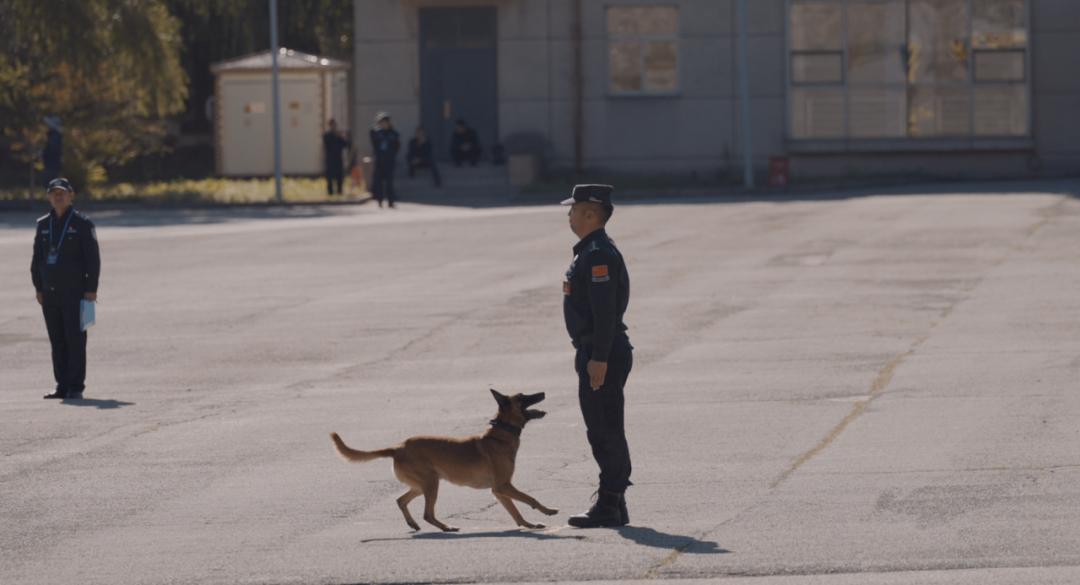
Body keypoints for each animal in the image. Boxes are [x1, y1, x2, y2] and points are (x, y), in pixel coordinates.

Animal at [332, 390, 557, 531]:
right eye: (523, 397)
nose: (543, 393)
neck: (501, 434)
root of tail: (398, 448)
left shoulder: (499, 491)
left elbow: (515, 512)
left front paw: (528, 525)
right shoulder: (503, 486)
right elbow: (530, 499)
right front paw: (548, 511)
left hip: (423, 484)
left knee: (401, 500)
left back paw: (414, 524)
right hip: (431, 483)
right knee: (427, 514)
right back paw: (446, 527)